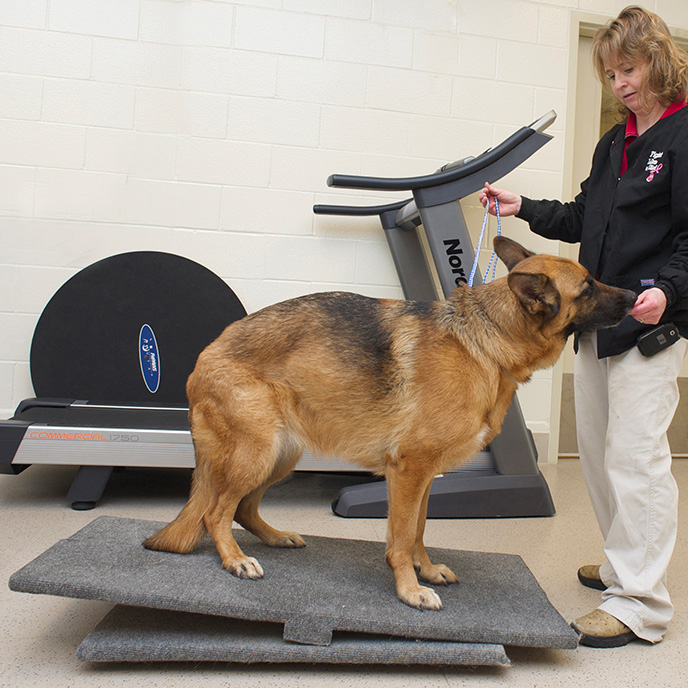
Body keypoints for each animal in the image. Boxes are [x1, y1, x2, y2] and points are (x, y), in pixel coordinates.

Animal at [144, 235, 636, 608]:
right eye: (588, 286)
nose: (637, 296)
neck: (485, 340)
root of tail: (207, 353)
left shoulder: (425, 476)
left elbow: (417, 529)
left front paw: (426, 569)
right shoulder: (408, 470)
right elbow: (399, 537)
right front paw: (409, 589)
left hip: (281, 456)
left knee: (243, 508)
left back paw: (274, 538)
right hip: (257, 453)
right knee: (215, 512)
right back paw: (234, 560)